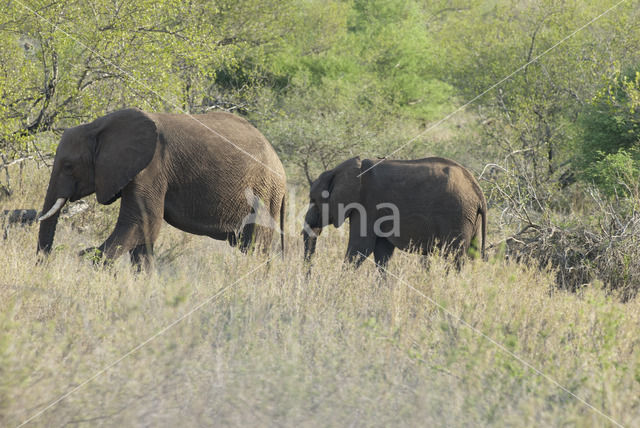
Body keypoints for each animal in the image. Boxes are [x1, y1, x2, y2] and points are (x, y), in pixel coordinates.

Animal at [38, 108, 286, 268]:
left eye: (69, 166)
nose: (45, 265)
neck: (97, 126)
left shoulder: (151, 168)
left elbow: (141, 222)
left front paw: (88, 258)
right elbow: (144, 231)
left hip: (264, 194)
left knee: (255, 247)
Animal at [302, 157, 488, 270]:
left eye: (313, 199)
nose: (308, 277)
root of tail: (478, 191)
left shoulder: (367, 205)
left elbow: (360, 247)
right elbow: (382, 252)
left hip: (457, 214)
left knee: (454, 256)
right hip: (470, 217)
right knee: (472, 254)